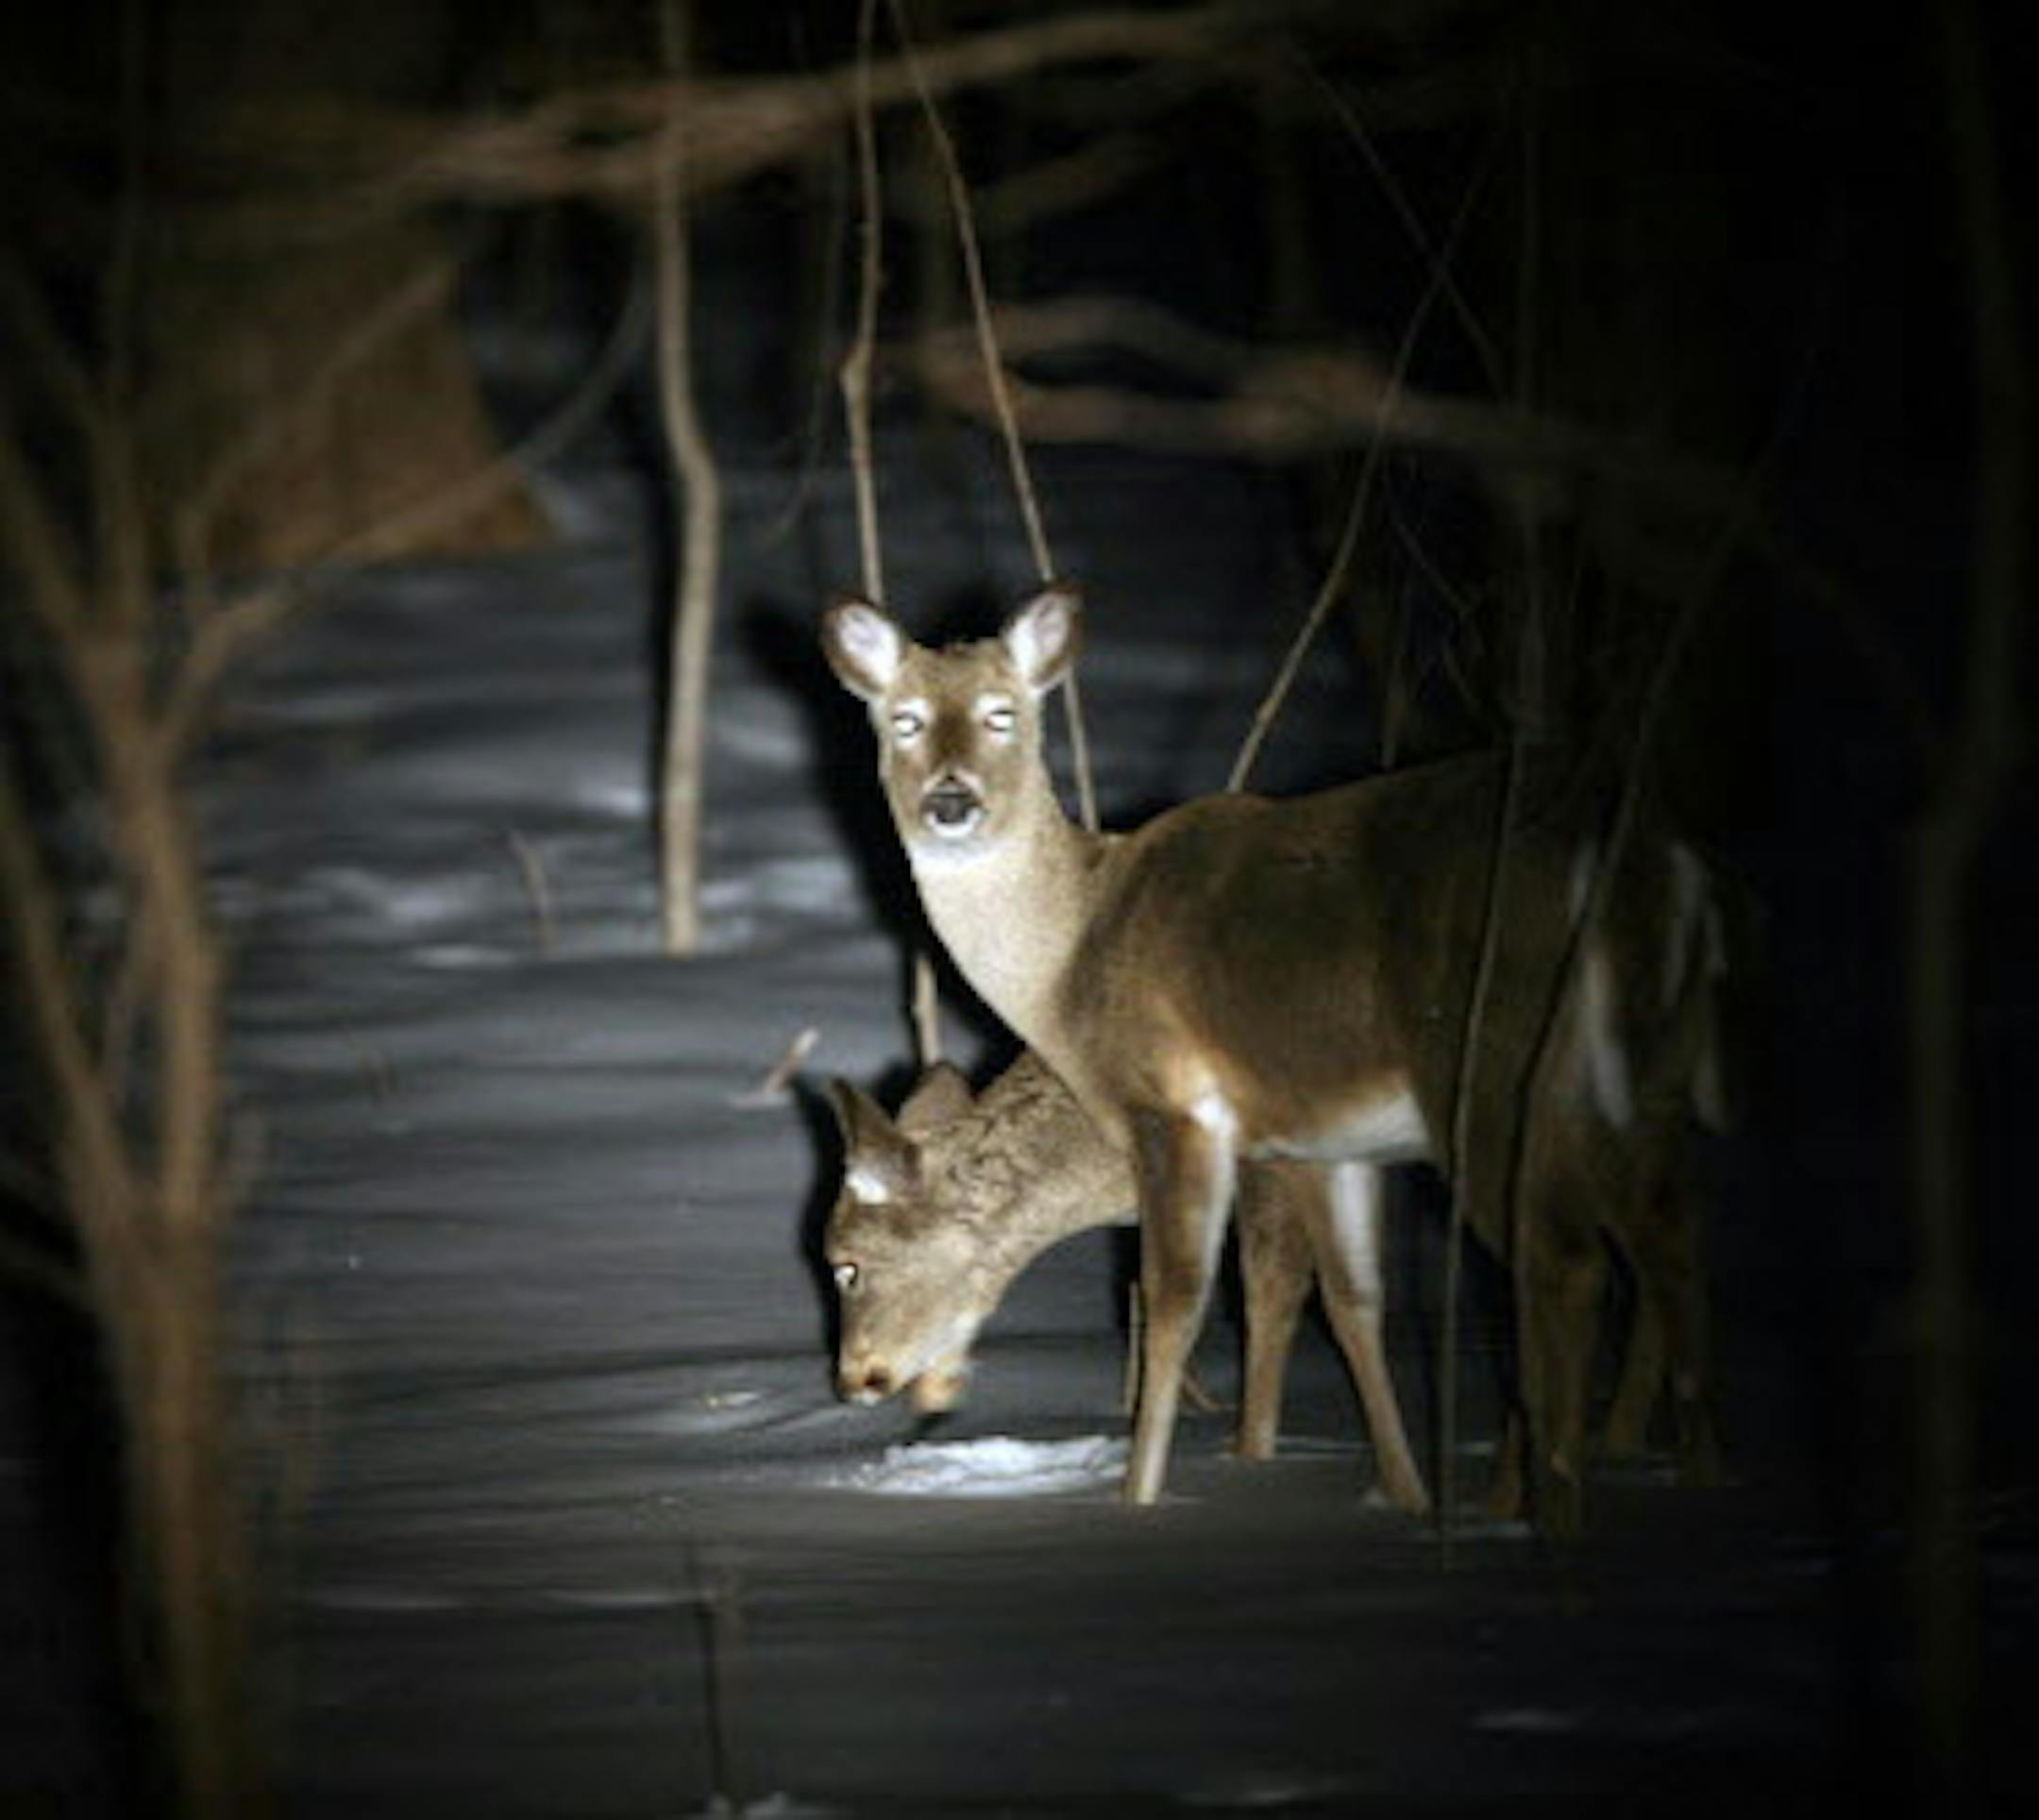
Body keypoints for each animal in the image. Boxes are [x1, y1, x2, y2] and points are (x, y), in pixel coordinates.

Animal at [822, 582, 1727, 1531]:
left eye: (1003, 713)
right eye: (905, 720)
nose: (855, 1378)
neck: (1073, 960)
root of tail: (1654, 866)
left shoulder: (1187, 1113)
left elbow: (1199, 1302)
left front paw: (1148, 1497)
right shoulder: (1323, 1143)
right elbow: (1350, 1302)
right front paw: (1395, 1492)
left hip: (1494, 1068)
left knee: (1566, 1265)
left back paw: (1549, 1501)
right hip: (1643, 1081)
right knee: (1670, 1238)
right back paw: (1682, 1482)